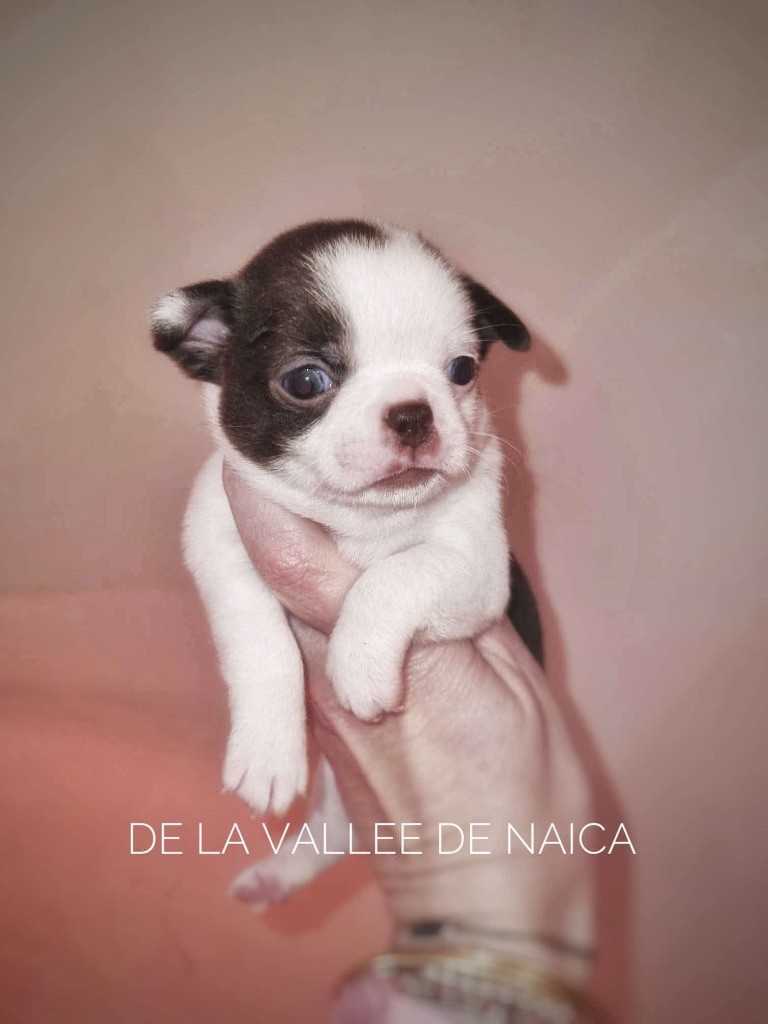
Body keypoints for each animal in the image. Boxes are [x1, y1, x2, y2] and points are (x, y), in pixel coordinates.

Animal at [151, 219, 530, 904]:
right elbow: (260, 642)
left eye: (461, 370)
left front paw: (359, 660)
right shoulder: (219, 537)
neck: (366, 520)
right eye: (306, 381)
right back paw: (271, 879)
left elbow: (395, 575)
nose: (413, 412)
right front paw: (268, 750)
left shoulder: (481, 568)